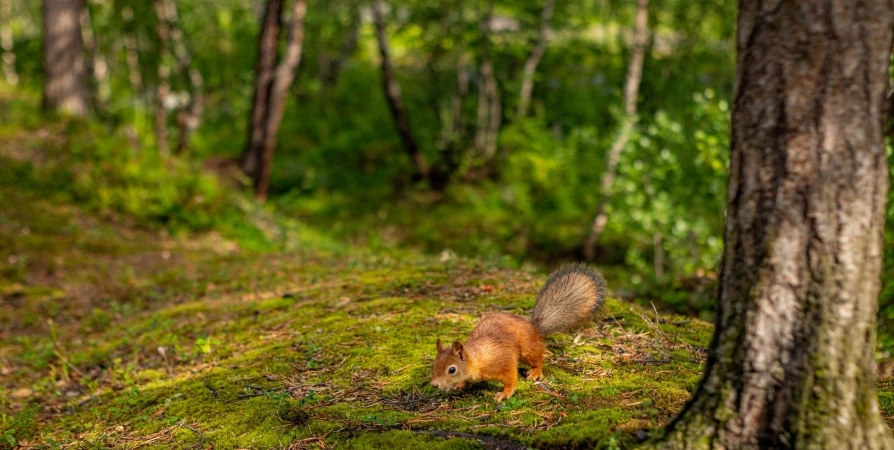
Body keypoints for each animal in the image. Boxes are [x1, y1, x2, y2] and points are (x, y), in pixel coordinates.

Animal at [430, 264, 604, 400]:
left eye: (451, 369)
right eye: (434, 364)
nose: (434, 384)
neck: (477, 359)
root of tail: (533, 326)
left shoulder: (503, 361)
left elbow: (510, 377)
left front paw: (505, 393)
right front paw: (459, 384)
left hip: (527, 349)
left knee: (538, 358)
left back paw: (535, 371)